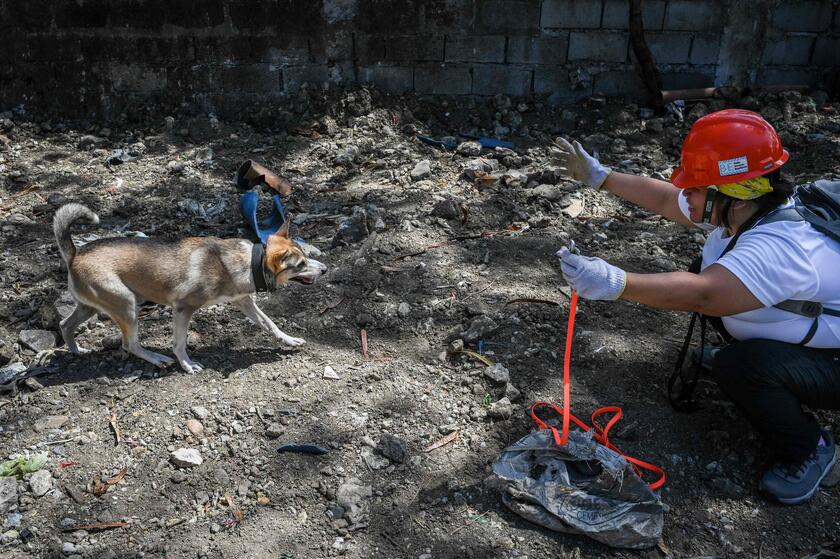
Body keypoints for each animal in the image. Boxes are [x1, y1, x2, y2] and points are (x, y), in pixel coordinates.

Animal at [52, 203, 326, 374]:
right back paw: (156, 358)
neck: (250, 261)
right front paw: (186, 364)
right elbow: (180, 343)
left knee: (65, 325)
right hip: (127, 305)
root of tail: (74, 254)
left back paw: (76, 350)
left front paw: (288, 340)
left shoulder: (244, 301)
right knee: (129, 344)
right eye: (300, 264)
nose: (324, 269)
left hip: (89, 307)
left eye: (305, 256)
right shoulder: (183, 309)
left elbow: (271, 324)